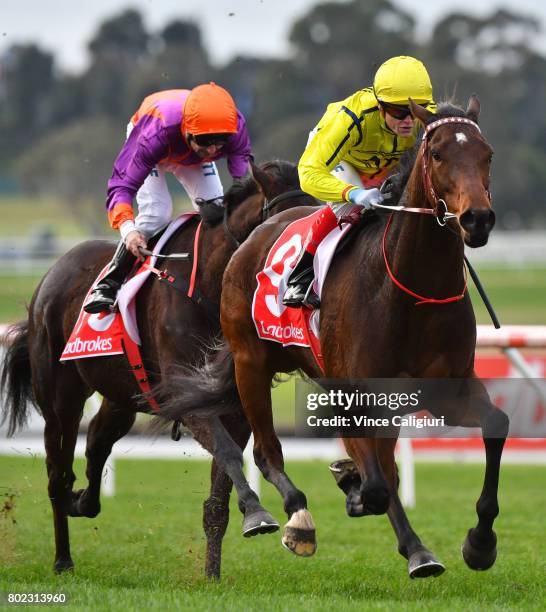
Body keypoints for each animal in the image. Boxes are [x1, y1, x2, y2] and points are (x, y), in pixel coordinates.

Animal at [0, 158, 316, 580]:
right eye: (287, 229)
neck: (210, 284)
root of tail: (50, 277)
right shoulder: (183, 396)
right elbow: (229, 453)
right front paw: (259, 514)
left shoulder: (233, 405)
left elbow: (219, 491)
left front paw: (214, 573)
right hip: (59, 399)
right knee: (57, 473)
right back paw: (62, 557)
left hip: (122, 395)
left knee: (97, 440)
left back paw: (82, 501)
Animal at [155, 97, 508, 580]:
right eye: (437, 154)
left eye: (487, 154)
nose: (477, 218)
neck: (413, 289)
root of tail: (252, 239)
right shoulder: (355, 393)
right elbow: (377, 485)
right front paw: (353, 488)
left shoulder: (447, 392)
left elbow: (495, 426)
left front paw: (480, 543)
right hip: (250, 362)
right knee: (267, 452)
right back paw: (296, 518)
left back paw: (413, 546)